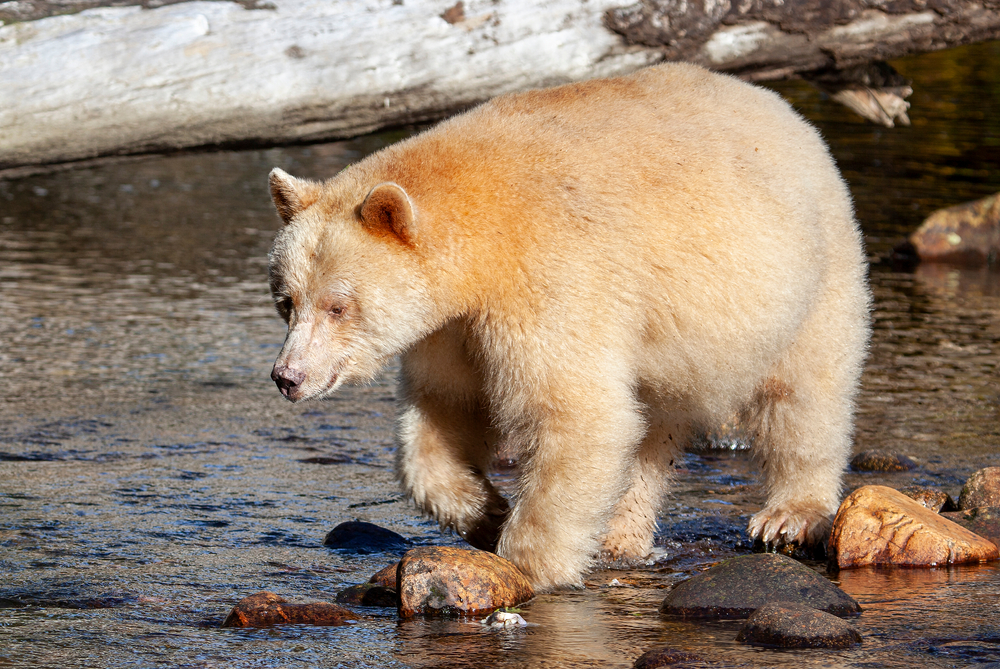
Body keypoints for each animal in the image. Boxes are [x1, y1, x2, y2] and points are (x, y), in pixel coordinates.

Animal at [266, 62, 871, 591]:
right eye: (286, 301)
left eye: (338, 306)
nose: (287, 377)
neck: (481, 243)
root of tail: (783, 110)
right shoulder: (451, 330)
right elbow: (444, 413)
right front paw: (486, 511)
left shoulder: (552, 281)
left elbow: (575, 412)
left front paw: (528, 565)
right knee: (649, 428)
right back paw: (622, 536)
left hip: (810, 275)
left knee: (804, 394)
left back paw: (790, 513)